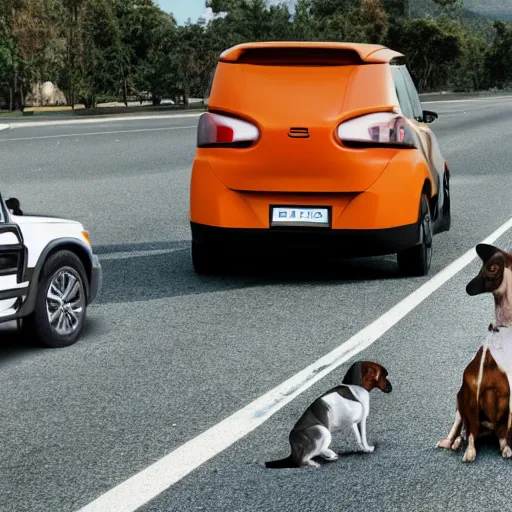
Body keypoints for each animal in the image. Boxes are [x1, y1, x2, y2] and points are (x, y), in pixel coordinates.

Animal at [264, 360, 392, 468]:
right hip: (322, 430)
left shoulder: (357, 422)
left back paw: (329, 455)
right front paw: (367, 449)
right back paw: (316, 462)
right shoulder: (358, 422)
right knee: (305, 458)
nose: (391, 387)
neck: (356, 385)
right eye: (383, 375)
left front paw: (366, 448)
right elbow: (362, 438)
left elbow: (361, 438)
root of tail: (292, 440)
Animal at [436, 242, 512, 462]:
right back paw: (453, 442)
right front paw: (468, 450)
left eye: (491, 268)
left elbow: (504, 432)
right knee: (460, 428)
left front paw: (506, 448)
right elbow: (470, 430)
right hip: (459, 402)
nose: (468, 287)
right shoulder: (471, 395)